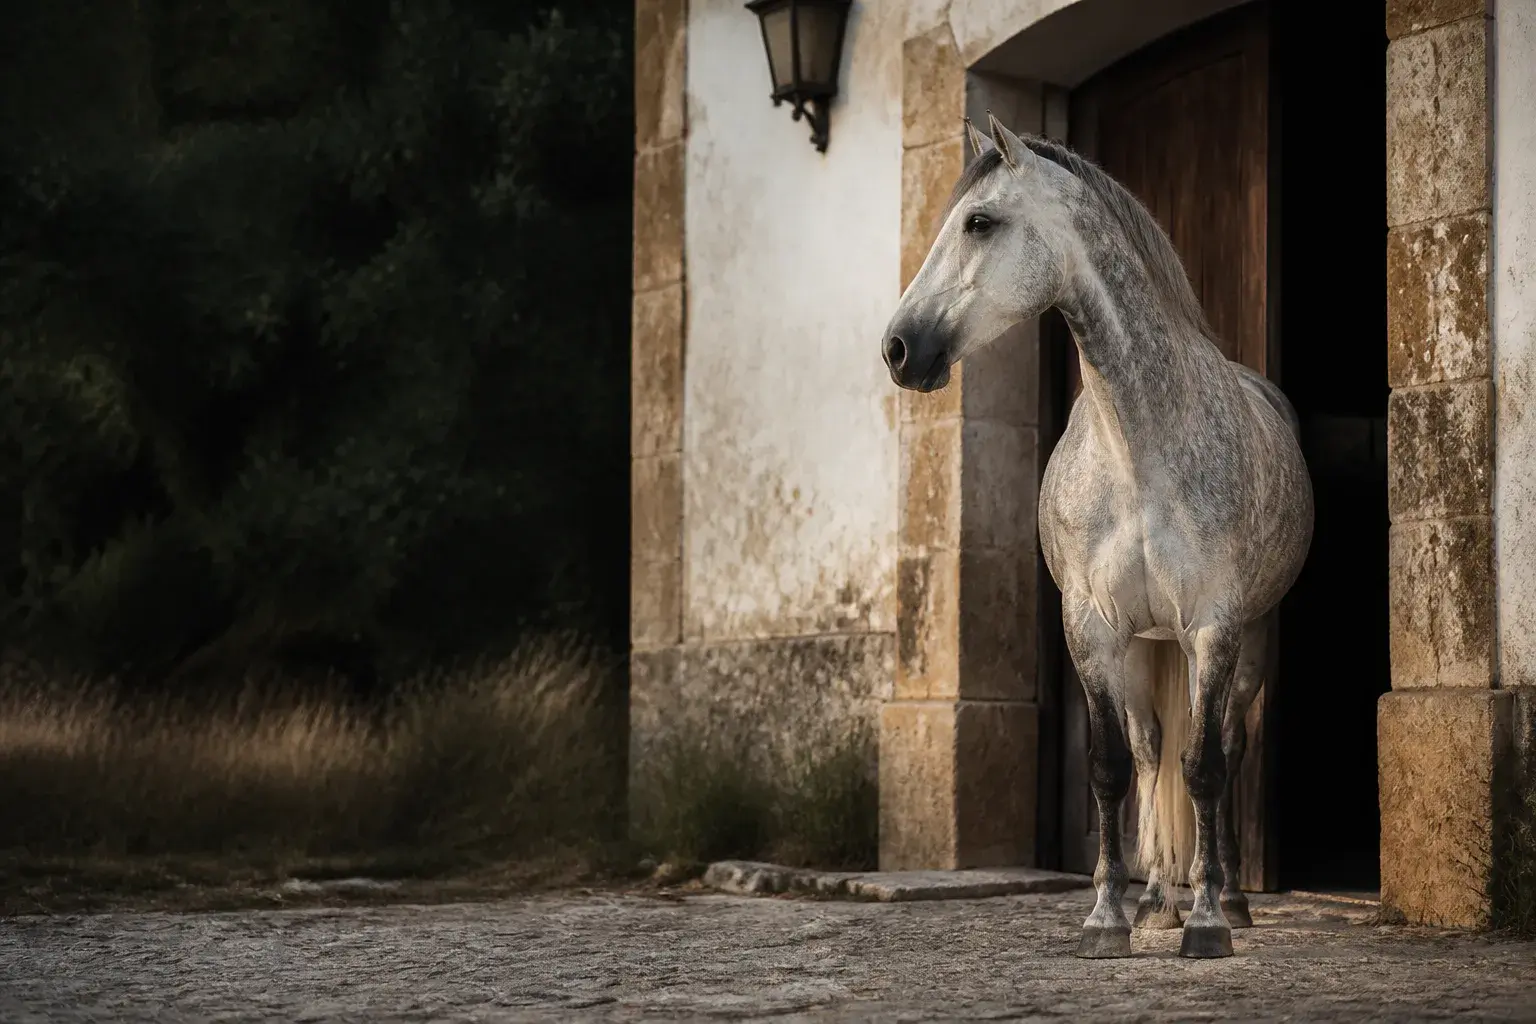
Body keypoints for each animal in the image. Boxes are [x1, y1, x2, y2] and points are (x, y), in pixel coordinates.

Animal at [879, 113, 1313, 959]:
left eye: (979, 223)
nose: (899, 349)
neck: (1139, 449)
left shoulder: (1213, 626)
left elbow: (1204, 768)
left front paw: (1206, 923)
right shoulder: (1092, 628)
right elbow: (1113, 767)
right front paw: (1110, 915)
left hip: (1248, 643)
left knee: (1226, 751)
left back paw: (1229, 897)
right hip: (1145, 645)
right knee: (1150, 754)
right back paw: (1154, 901)